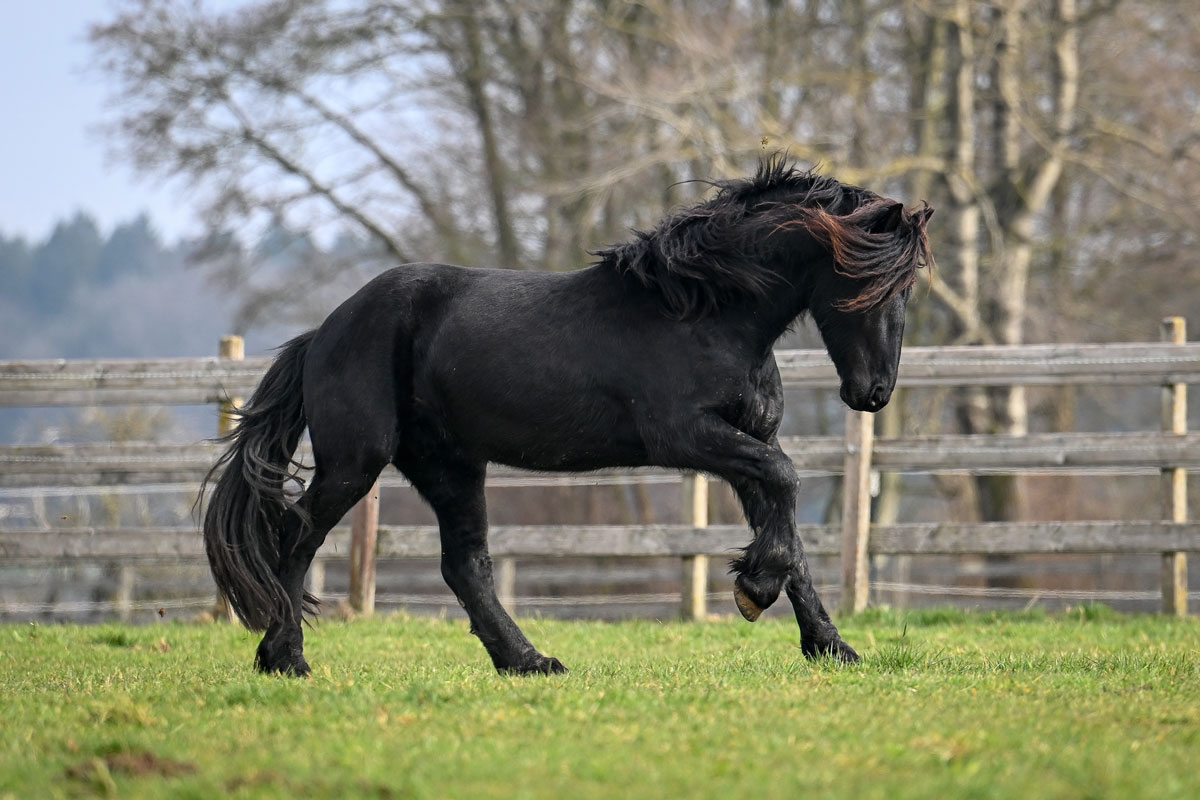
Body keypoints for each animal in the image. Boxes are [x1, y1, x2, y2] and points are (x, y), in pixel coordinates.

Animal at [202, 156, 934, 677]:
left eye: (908, 289)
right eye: (865, 282)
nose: (873, 393)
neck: (706, 311)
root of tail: (325, 332)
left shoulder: (746, 440)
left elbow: (792, 533)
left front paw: (829, 645)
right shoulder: (690, 438)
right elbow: (785, 482)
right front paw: (754, 589)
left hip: (450, 465)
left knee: (465, 566)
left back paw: (528, 663)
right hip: (357, 461)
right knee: (296, 536)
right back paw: (286, 659)